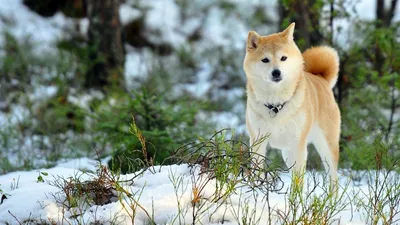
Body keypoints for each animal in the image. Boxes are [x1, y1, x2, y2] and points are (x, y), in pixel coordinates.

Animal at [244, 22, 340, 185]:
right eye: (265, 60)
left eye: (283, 58)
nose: (276, 72)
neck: (275, 104)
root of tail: (321, 78)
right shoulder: (258, 140)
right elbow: (257, 172)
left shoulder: (298, 145)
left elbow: (298, 182)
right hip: (287, 152)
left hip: (326, 147)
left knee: (333, 178)